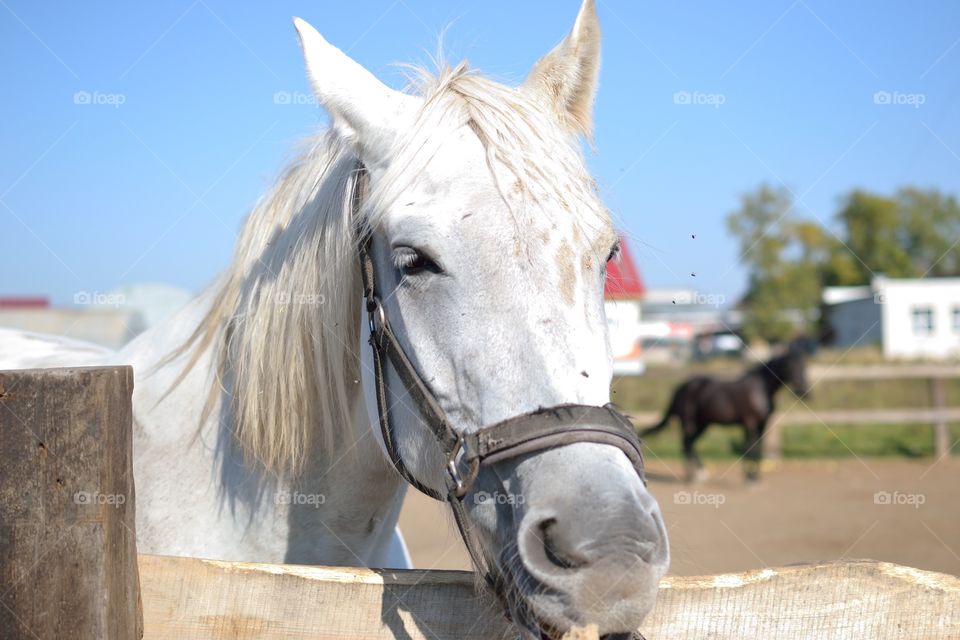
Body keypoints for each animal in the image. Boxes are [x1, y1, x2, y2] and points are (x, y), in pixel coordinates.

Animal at [640, 340, 812, 480]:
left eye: (804, 366)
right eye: (790, 366)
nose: (804, 392)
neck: (760, 389)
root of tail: (682, 387)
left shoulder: (762, 424)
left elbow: (758, 449)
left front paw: (755, 478)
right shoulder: (749, 423)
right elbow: (750, 449)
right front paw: (750, 479)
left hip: (703, 424)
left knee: (689, 444)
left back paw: (697, 474)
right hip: (689, 423)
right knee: (686, 444)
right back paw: (695, 476)